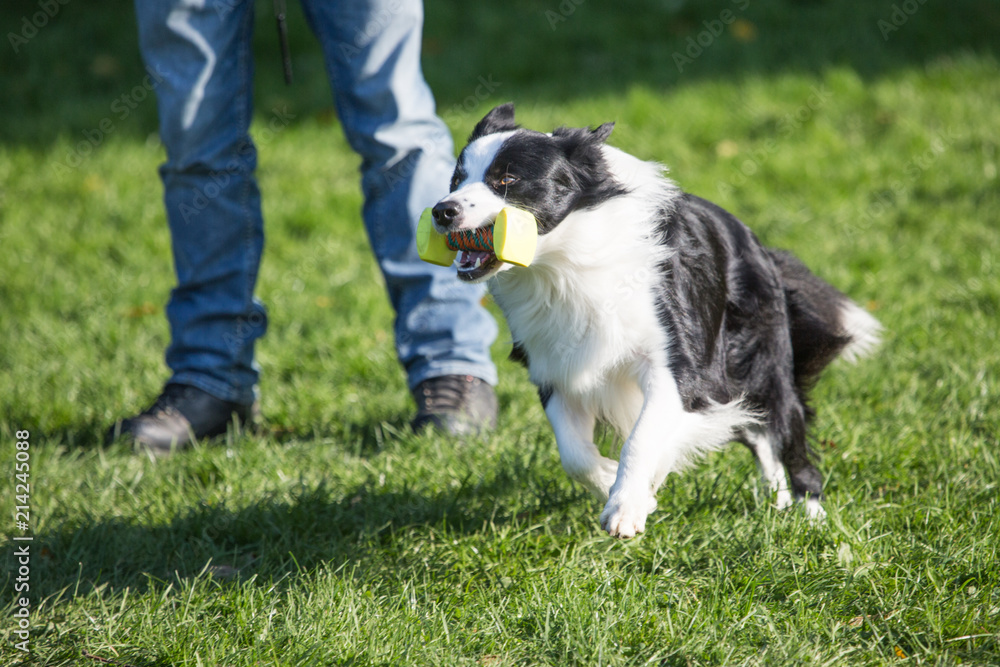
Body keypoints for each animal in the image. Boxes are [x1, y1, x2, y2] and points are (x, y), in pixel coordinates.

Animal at [434, 104, 880, 540]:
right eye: (456, 179)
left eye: (507, 179)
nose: (442, 210)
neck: (564, 263)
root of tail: (760, 246)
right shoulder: (552, 365)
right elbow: (573, 454)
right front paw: (616, 485)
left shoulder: (675, 362)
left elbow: (642, 437)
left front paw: (625, 509)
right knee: (757, 436)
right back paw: (779, 507)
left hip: (764, 363)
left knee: (786, 433)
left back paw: (811, 518)